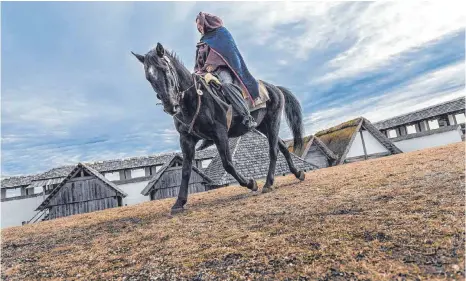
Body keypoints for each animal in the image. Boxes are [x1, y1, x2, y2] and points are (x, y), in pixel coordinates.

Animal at [131, 42, 306, 212]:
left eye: (165, 69)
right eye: (149, 78)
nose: (170, 106)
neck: (193, 99)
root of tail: (273, 88)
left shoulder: (220, 133)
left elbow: (227, 164)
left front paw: (251, 183)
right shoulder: (186, 139)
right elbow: (186, 170)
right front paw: (179, 202)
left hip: (273, 120)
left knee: (273, 150)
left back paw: (268, 183)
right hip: (263, 125)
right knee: (282, 146)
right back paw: (298, 173)